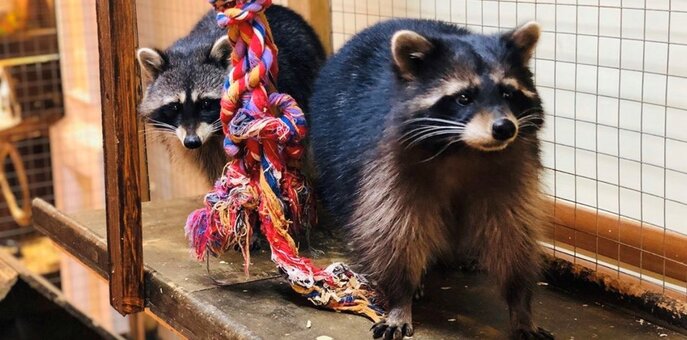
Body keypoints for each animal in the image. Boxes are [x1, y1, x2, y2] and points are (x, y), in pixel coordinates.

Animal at [310, 19, 552, 340]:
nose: (504, 128)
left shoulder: (511, 168)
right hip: (334, 151)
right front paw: (400, 298)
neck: (463, 148)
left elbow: (512, 234)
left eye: (508, 94)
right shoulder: (389, 166)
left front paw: (520, 305)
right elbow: (393, 233)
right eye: (464, 97)